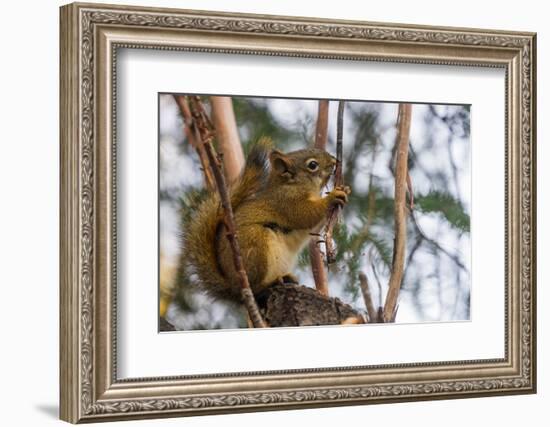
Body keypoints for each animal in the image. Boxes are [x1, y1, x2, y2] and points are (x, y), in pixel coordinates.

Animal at [183, 139, 352, 302]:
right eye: (312, 165)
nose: (334, 161)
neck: (291, 185)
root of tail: (234, 288)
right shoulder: (285, 203)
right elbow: (305, 215)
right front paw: (332, 197)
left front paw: (345, 190)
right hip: (255, 245)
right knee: (256, 287)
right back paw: (269, 283)